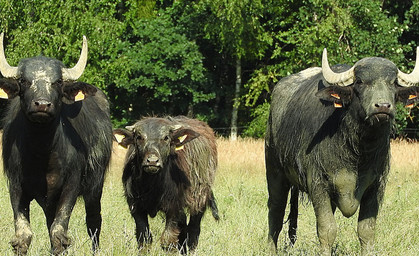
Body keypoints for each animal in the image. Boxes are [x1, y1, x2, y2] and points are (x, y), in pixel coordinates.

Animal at [0, 33, 113, 254]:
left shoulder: (71, 185)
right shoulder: (15, 185)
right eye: (24, 80)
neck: (41, 153)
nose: (42, 104)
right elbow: (24, 235)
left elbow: (59, 232)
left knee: (94, 221)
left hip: (96, 186)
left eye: (58, 81)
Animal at [115, 116, 220, 254]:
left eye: (166, 137)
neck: (152, 185)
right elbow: (144, 239)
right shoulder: (135, 207)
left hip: (200, 199)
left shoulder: (174, 208)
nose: (152, 161)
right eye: (139, 137)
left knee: (193, 230)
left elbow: (168, 240)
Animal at [266, 47, 419, 254]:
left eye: (393, 83)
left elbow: (366, 230)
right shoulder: (318, 184)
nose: (383, 106)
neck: (357, 153)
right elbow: (327, 229)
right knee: (275, 211)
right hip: (275, 171)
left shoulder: (377, 185)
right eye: (360, 81)